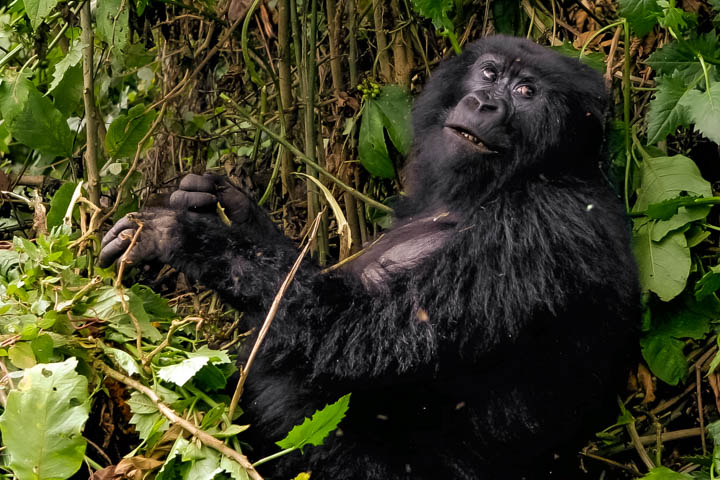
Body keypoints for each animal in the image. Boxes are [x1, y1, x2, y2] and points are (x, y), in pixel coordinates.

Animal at [100, 37, 640, 480]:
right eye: (489, 73)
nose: (485, 102)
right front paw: (233, 210)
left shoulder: (540, 228)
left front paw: (187, 237)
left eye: (527, 91)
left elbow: (357, 332)